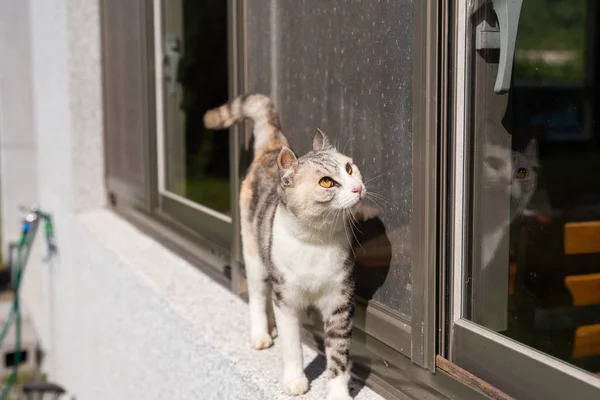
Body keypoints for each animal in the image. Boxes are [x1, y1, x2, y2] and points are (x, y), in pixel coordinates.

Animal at [204, 94, 378, 400]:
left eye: (349, 168)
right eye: (326, 182)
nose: (357, 188)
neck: (316, 240)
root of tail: (273, 147)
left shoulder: (339, 300)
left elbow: (338, 354)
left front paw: (338, 393)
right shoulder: (286, 299)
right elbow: (292, 345)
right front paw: (295, 381)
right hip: (255, 257)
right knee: (258, 296)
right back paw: (262, 334)